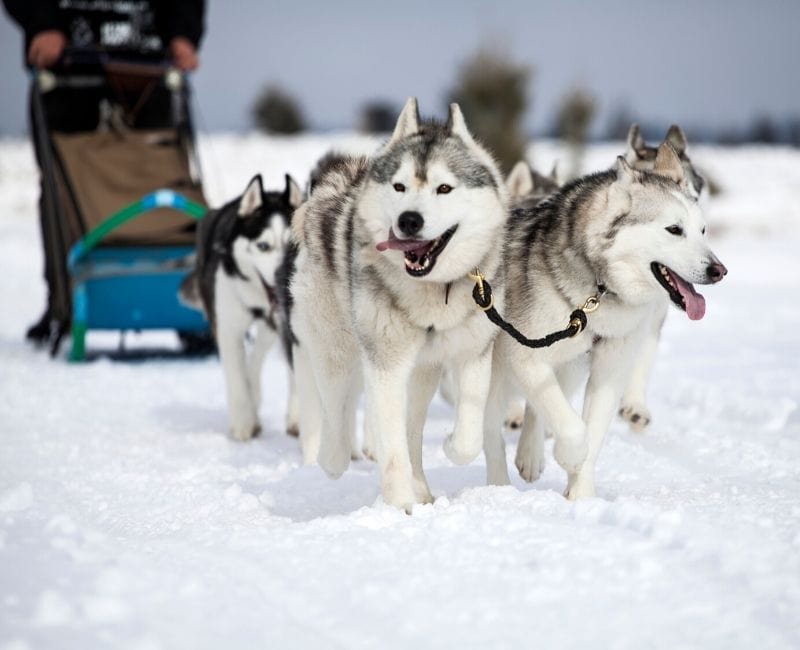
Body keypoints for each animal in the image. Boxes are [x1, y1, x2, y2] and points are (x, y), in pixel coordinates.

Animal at [180, 175, 304, 440]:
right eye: (263, 246)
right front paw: (243, 424)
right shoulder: (227, 328)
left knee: (257, 359)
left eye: (291, 244)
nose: (282, 275)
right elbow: (236, 377)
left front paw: (297, 417)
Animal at [290, 97, 510, 512]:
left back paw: (421, 487)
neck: (432, 291)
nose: (409, 220)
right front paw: (399, 507)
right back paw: (332, 458)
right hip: (336, 350)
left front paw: (450, 447)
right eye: (400, 186)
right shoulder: (386, 363)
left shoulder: (474, 353)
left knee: (411, 427)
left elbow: (468, 433)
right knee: (337, 413)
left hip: (423, 373)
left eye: (444, 188)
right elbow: (390, 446)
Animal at [484, 143, 728, 496]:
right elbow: (573, 428)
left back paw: (530, 455)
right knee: (490, 429)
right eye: (674, 229)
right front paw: (571, 456)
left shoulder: (609, 370)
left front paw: (581, 497)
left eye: (703, 230)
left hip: (567, 363)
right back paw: (498, 485)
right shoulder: (524, 355)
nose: (719, 270)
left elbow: (588, 431)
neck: (599, 291)